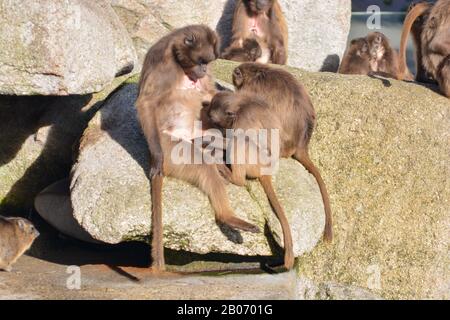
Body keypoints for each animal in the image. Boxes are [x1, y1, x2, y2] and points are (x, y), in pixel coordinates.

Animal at [135, 24, 258, 272]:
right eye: (201, 60)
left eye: (207, 62)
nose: (203, 69)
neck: (177, 58)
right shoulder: (162, 62)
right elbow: (146, 103)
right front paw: (157, 160)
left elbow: (209, 95)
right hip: (172, 149)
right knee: (203, 165)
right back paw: (226, 215)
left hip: (197, 132)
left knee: (213, 135)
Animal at [207, 91, 296, 268]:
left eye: (213, 117)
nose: (208, 116)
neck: (242, 105)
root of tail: (267, 170)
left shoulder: (244, 118)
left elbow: (236, 139)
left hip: (256, 161)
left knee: (241, 141)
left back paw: (234, 177)